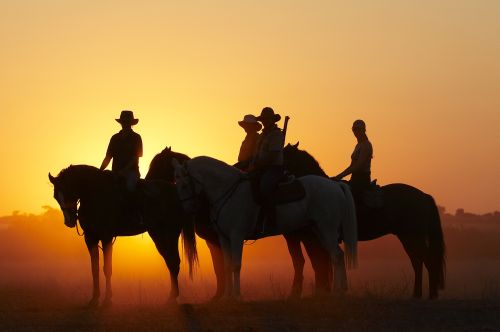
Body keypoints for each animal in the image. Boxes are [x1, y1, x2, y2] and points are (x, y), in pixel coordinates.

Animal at [48, 163, 197, 306]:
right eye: (56, 197)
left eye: (68, 191)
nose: (69, 221)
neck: (95, 195)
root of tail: (177, 193)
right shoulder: (90, 238)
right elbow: (94, 269)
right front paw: (94, 299)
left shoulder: (106, 237)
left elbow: (107, 268)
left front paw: (107, 299)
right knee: (171, 262)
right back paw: (172, 297)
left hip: (167, 234)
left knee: (173, 262)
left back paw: (172, 297)